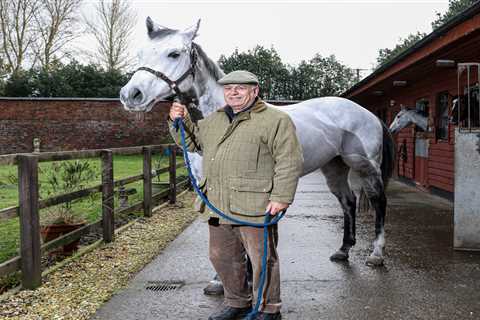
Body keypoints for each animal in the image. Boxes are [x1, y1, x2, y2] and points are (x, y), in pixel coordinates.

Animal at [120, 18, 394, 266]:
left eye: (174, 53)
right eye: (140, 53)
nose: (131, 95)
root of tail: (369, 114)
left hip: (366, 167)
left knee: (379, 201)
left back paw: (376, 254)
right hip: (334, 167)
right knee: (348, 202)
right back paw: (344, 250)